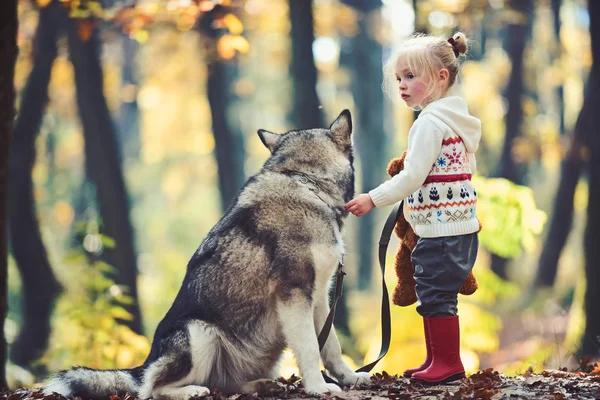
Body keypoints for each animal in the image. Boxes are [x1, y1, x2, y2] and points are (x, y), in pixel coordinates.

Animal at [43, 111, 370, 400]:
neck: (305, 182)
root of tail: (145, 362)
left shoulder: (320, 296)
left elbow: (331, 346)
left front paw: (349, 377)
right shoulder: (295, 294)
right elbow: (310, 348)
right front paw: (318, 387)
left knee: (224, 384)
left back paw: (262, 385)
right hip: (201, 332)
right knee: (151, 389)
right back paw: (191, 391)